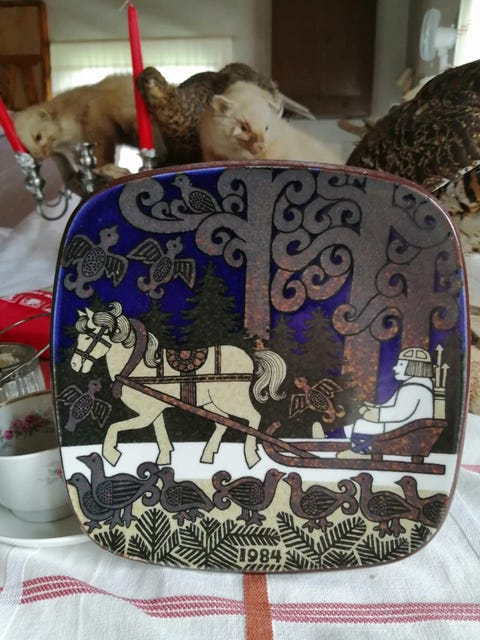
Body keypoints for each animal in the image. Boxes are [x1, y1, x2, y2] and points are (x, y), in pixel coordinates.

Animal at [70, 302, 287, 468]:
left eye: (88, 336)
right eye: (79, 336)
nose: (74, 364)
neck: (135, 366)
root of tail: (250, 358)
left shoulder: (147, 413)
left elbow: (114, 427)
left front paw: (111, 454)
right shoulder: (155, 409)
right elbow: (159, 431)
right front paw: (165, 457)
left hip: (231, 400)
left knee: (254, 417)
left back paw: (251, 456)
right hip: (211, 403)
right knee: (223, 422)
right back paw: (208, 454)